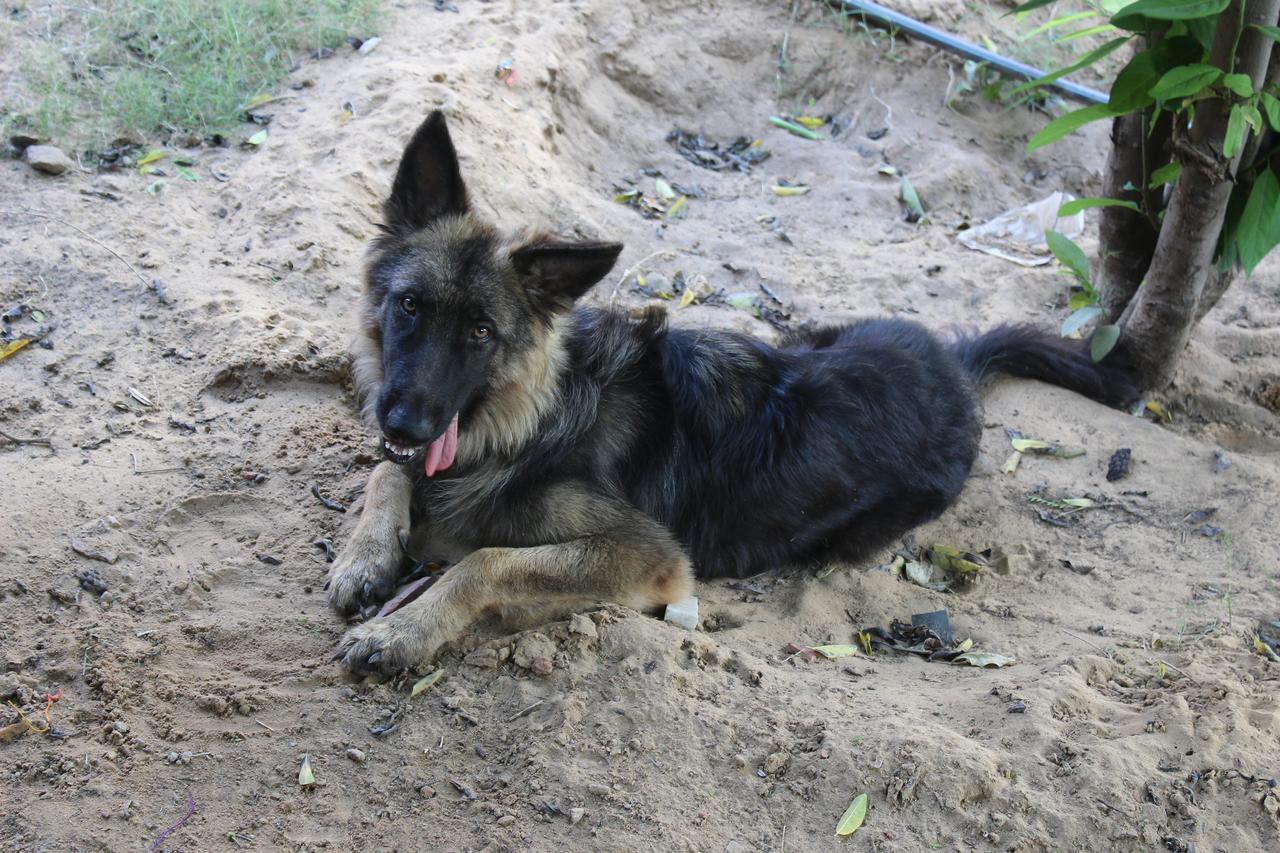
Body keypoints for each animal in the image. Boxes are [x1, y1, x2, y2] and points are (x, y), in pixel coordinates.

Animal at [325, 109, 1136, 676]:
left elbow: (485, 559)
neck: (534, 411)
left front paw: (401, 628)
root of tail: (954, 363)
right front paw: (364, 557)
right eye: (410, 306)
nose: (403, 418)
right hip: (814, 332)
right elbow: (385, 473)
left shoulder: (646, 554)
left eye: (481, 332)